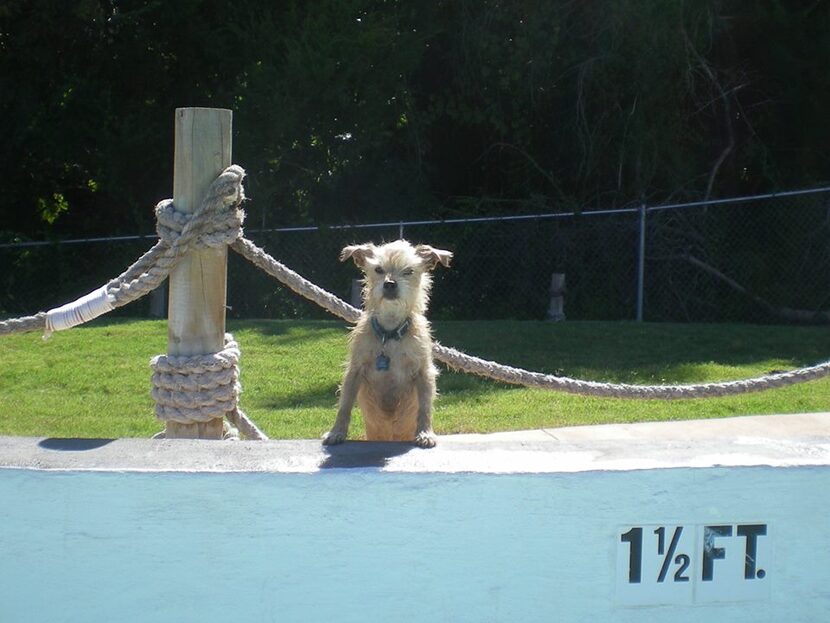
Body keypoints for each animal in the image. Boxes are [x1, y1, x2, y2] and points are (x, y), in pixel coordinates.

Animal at [324, 239, 456, 448]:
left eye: (408, 271)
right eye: (378, 269)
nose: (390, 283)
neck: (390, 333)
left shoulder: (424, 372)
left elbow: (425, 407)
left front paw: (425, 433)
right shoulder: (354, 371)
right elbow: (344, 405)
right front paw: (336, 432)